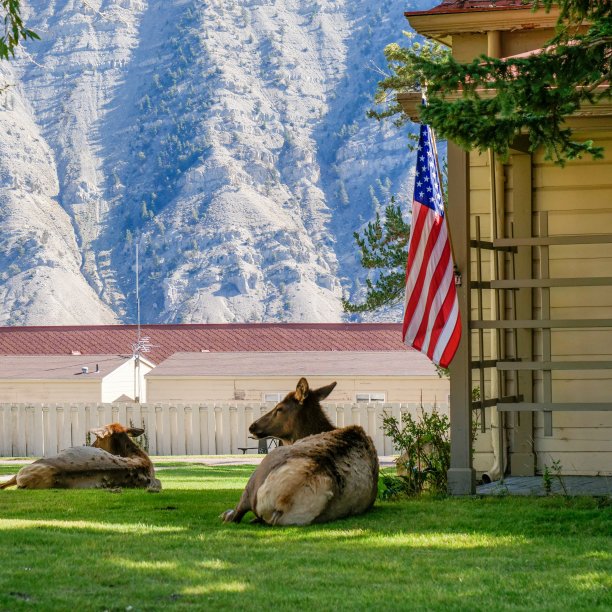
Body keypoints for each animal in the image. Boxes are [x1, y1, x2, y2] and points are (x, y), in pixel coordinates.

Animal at [222, 378, 380, 524]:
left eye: (279, 408)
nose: (252, 426)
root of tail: (284, 499)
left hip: (258, 474)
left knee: (236, 513)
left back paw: (226, 514)